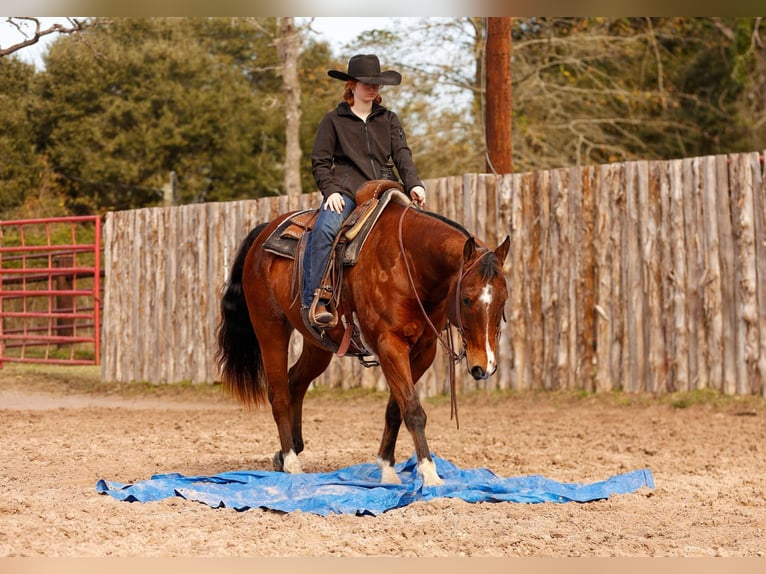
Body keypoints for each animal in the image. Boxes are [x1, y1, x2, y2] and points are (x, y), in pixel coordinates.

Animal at [216, 182, 510, 488]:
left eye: (504, 300)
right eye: (466, 299)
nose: (484, 366)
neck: (408, 263)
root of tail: (264, 233)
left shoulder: (423, 351)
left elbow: (396, 408)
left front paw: (387, 468)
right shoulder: (390, 345)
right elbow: (413, 410)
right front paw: (429, 474)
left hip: (318, 343)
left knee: (296, 381)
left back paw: (287, 453)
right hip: (270, 329)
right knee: (279, 394)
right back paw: (291, 462)